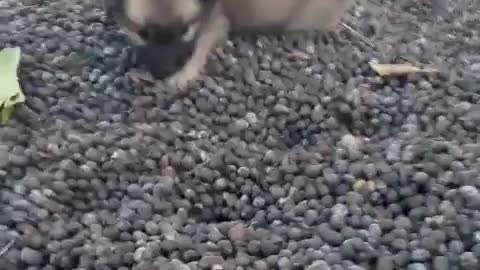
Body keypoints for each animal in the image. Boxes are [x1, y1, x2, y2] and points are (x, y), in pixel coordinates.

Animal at [105, 0, 360, 88]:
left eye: (186, 29)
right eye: (143, 33)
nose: (162, 73)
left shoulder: (216, 21)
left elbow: (200, 47)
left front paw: (184, 74)